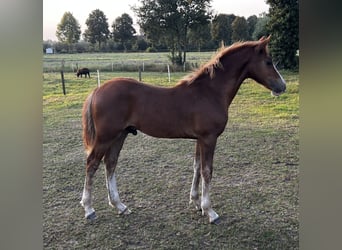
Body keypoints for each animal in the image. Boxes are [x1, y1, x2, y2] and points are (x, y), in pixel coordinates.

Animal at [80, 35, 286, 225]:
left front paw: (196, 203)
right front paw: (210, 211)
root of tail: (97, 91)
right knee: (92, 164)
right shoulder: (209, 138)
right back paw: (89, 209)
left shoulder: (199, 139)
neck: (210, 92)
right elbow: (206, 171)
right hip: (106, 137)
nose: (282, 86)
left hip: (120, 135)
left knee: (110, 163)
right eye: (268, 62)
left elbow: (196, 167)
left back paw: (120, 206)